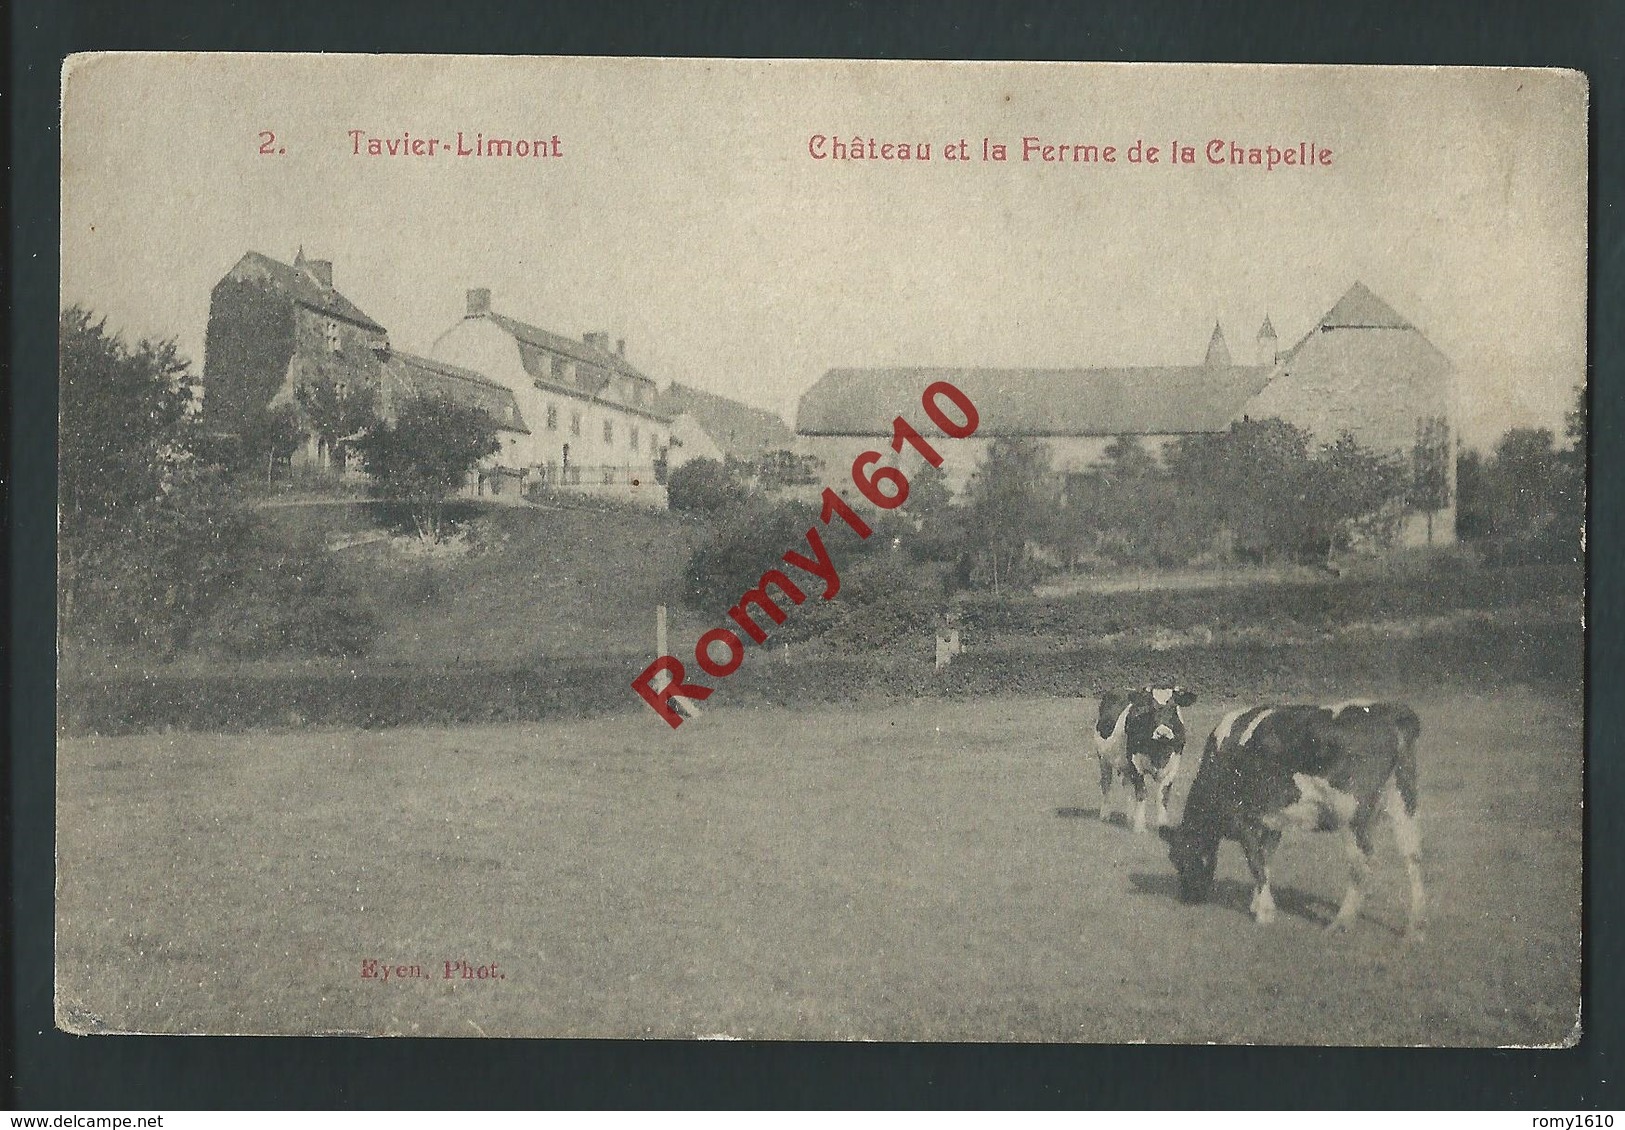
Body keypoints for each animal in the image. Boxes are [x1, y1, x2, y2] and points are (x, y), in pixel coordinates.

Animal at [1092, 686, 1196, 832]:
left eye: (1174, 707)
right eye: (1150, 708)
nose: (1162, 733)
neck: (1159, 750)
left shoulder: (1173, 767)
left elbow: (1163, 796)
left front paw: (1161, 825)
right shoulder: (1136, 765)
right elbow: (1141, 793)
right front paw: (1140, 827)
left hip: (1125, 766)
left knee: (1127, 786)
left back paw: (1129, 818)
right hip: (1103, 758)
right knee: (1106, 783)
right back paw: (1105, 816)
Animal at [1157, 708, 1423, 936]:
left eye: (1178, 857)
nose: (1188, 898)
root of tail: (1390, 713)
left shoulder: (1243, 818)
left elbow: (1256, 863)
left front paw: (1265, 913)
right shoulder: (1273, 822)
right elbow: (1265, 860)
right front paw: (1257, 904)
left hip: (1352, 815)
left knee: (1362, 864)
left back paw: (1341, 923)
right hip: (1404, 804)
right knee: (1413, 857)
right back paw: (1415, 930)